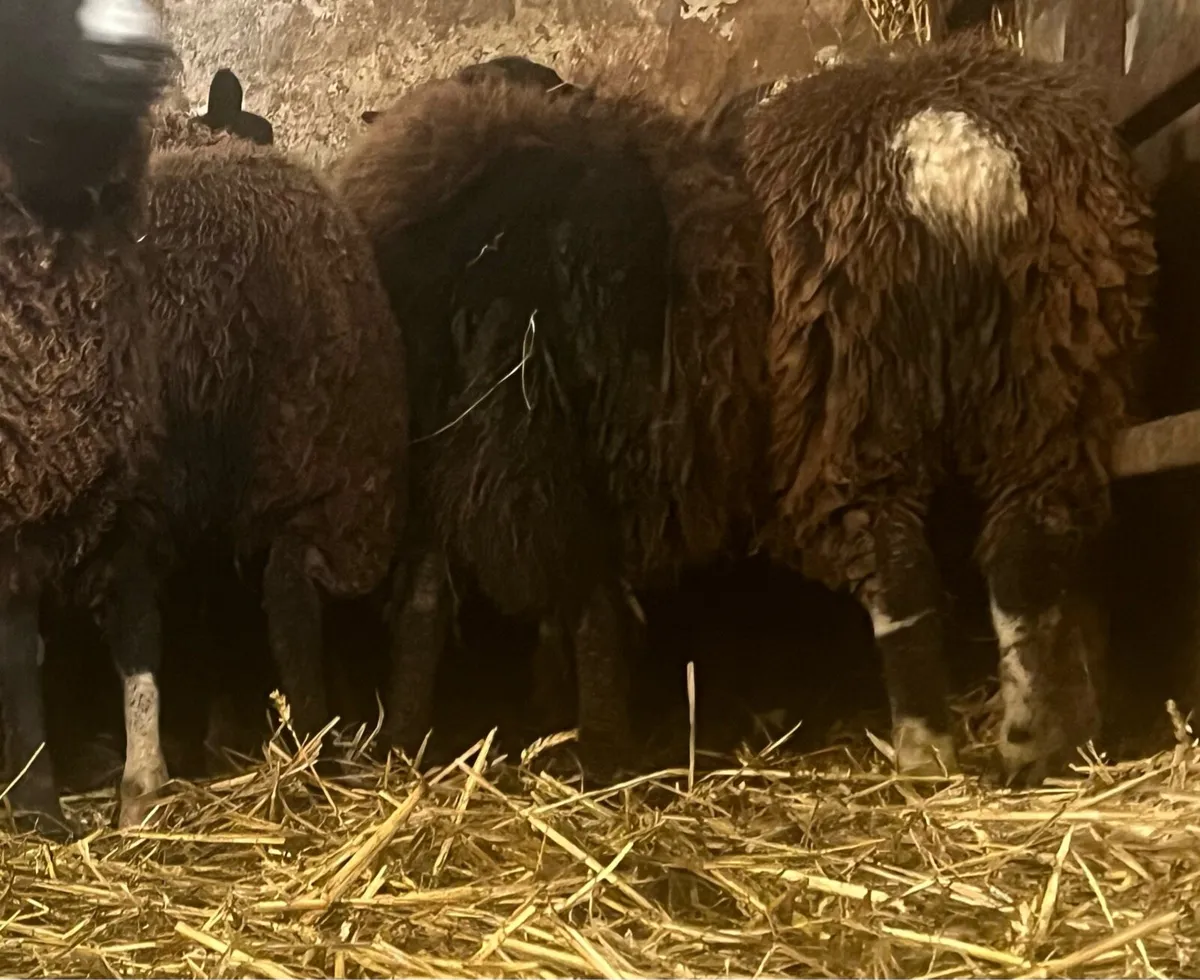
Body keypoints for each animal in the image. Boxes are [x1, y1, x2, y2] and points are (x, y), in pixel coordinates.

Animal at [334, 75, 771, 773]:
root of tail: (520, 264)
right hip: (618, 445)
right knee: (597, 604)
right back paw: (605, 755)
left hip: (424, 447)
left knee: (427, 599)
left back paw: (406, 744)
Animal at [739, 34, 1157, 785]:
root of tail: (952, 151)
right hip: (1053, 366)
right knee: (1026, 553)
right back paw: (1027, 741)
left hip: (853, 388)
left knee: (896, 566)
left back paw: (924, 750)